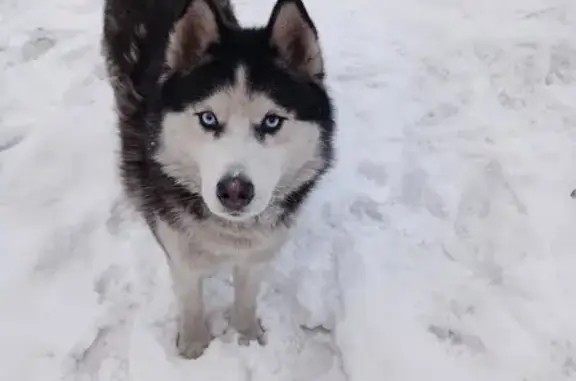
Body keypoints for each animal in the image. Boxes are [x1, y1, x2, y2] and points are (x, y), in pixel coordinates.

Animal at [101, 0, 336, 356]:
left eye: (271, 121)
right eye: (208, 118)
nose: (235, 191)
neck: (231, 234)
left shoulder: (258, 254)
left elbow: (246, 299)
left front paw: (247, 338)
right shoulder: (178, 248)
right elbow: (190, 300)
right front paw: (194, 347)